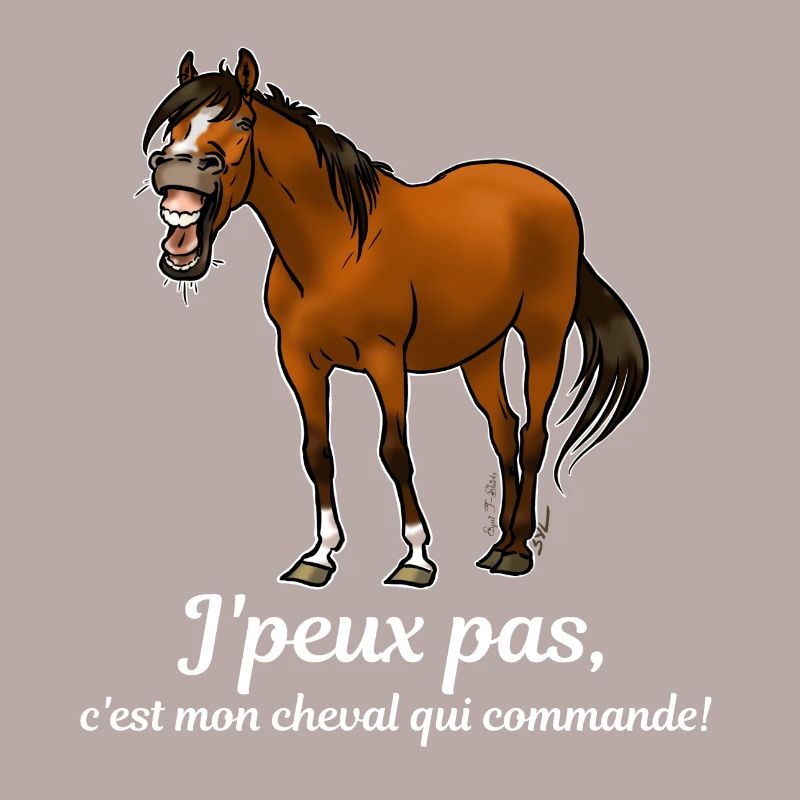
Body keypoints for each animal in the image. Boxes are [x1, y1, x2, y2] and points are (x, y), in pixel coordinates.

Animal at [143, 48, 649, 589]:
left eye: (241, 121)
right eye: (174, 124)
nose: (175, 166)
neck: (336, 249)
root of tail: (552, 193)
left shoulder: (385, 359)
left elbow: (395, 452)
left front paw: (416, 558)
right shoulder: (300, 362)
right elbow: (317, 453)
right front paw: (320, 555)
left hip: (543, 332)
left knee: (533, 433)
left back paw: (517, 552)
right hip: (481, 349)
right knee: (504, 428)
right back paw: (500, 544)